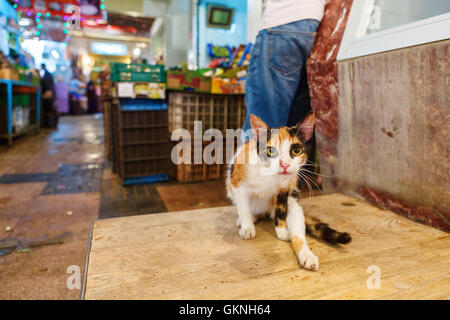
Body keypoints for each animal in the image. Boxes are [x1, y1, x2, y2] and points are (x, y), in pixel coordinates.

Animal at [227, 112, 350, 270]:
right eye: (270, 151)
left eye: (296, 150)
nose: (284, 164)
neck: (269, 175)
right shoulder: (237, 181)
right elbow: (243, 207)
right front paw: (247, 227)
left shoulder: (284, 190)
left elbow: (281, 212)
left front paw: (282, 231)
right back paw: (249, 219)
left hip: (294, 205)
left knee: (298, 231)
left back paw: (307, 255)